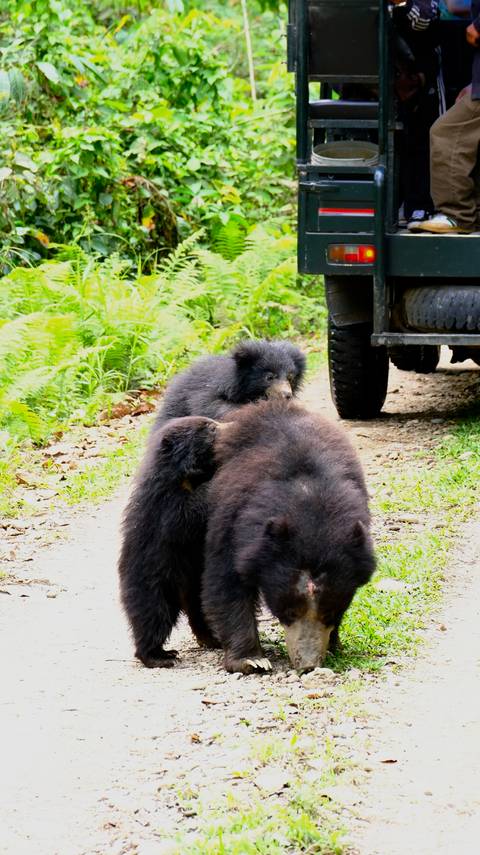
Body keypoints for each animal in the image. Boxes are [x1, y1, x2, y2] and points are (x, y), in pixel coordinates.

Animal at [118, 415, 224, 668]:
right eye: (209, 428)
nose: (230, 425)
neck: (185, 477)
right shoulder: (165, 505)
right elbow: (188, 513)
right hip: (153, 583)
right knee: (153, 617)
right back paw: (158, 656)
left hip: (194, 585)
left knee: (201, 612)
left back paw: (212, 639)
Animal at [201, 399, 376, 674]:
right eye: (289, 611)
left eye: (330, 612)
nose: (308, 665)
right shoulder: (235, 522)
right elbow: (226, 581)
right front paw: (251, 660)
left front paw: (333, 645)